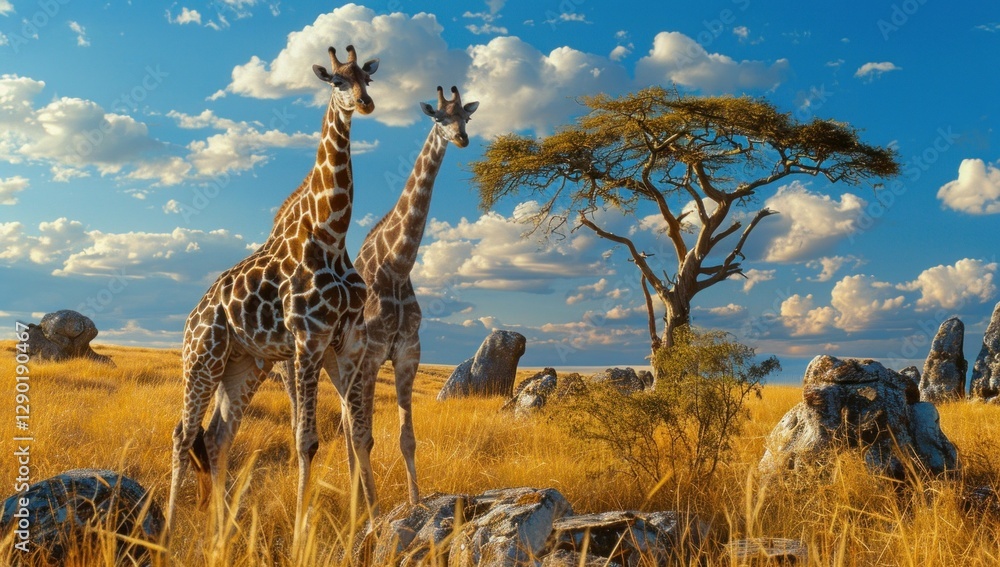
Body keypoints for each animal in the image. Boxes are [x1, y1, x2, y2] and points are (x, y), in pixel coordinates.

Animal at [166, 45, 379, 538]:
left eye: (367, 78)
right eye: (336, 81)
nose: (364, 104)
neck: (331, 234)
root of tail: (191, 315)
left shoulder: (348, 342)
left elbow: (359, 435)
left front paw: (370, 521)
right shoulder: (308, 339)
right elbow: (307, 441)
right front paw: (302, 530)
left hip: (244, 365)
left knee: (219, 436)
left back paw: (221, 529)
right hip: (201, 359)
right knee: (184, 434)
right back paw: (166, 529)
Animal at [354, 85, 478, 504]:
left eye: (466, 117)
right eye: (438, 117)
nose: (462, 138)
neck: (395, 266)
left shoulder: (408, 352)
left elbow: (407, 438)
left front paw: (415, 500)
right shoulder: (370, 355)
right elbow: (366, 437)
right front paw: (371, 509)